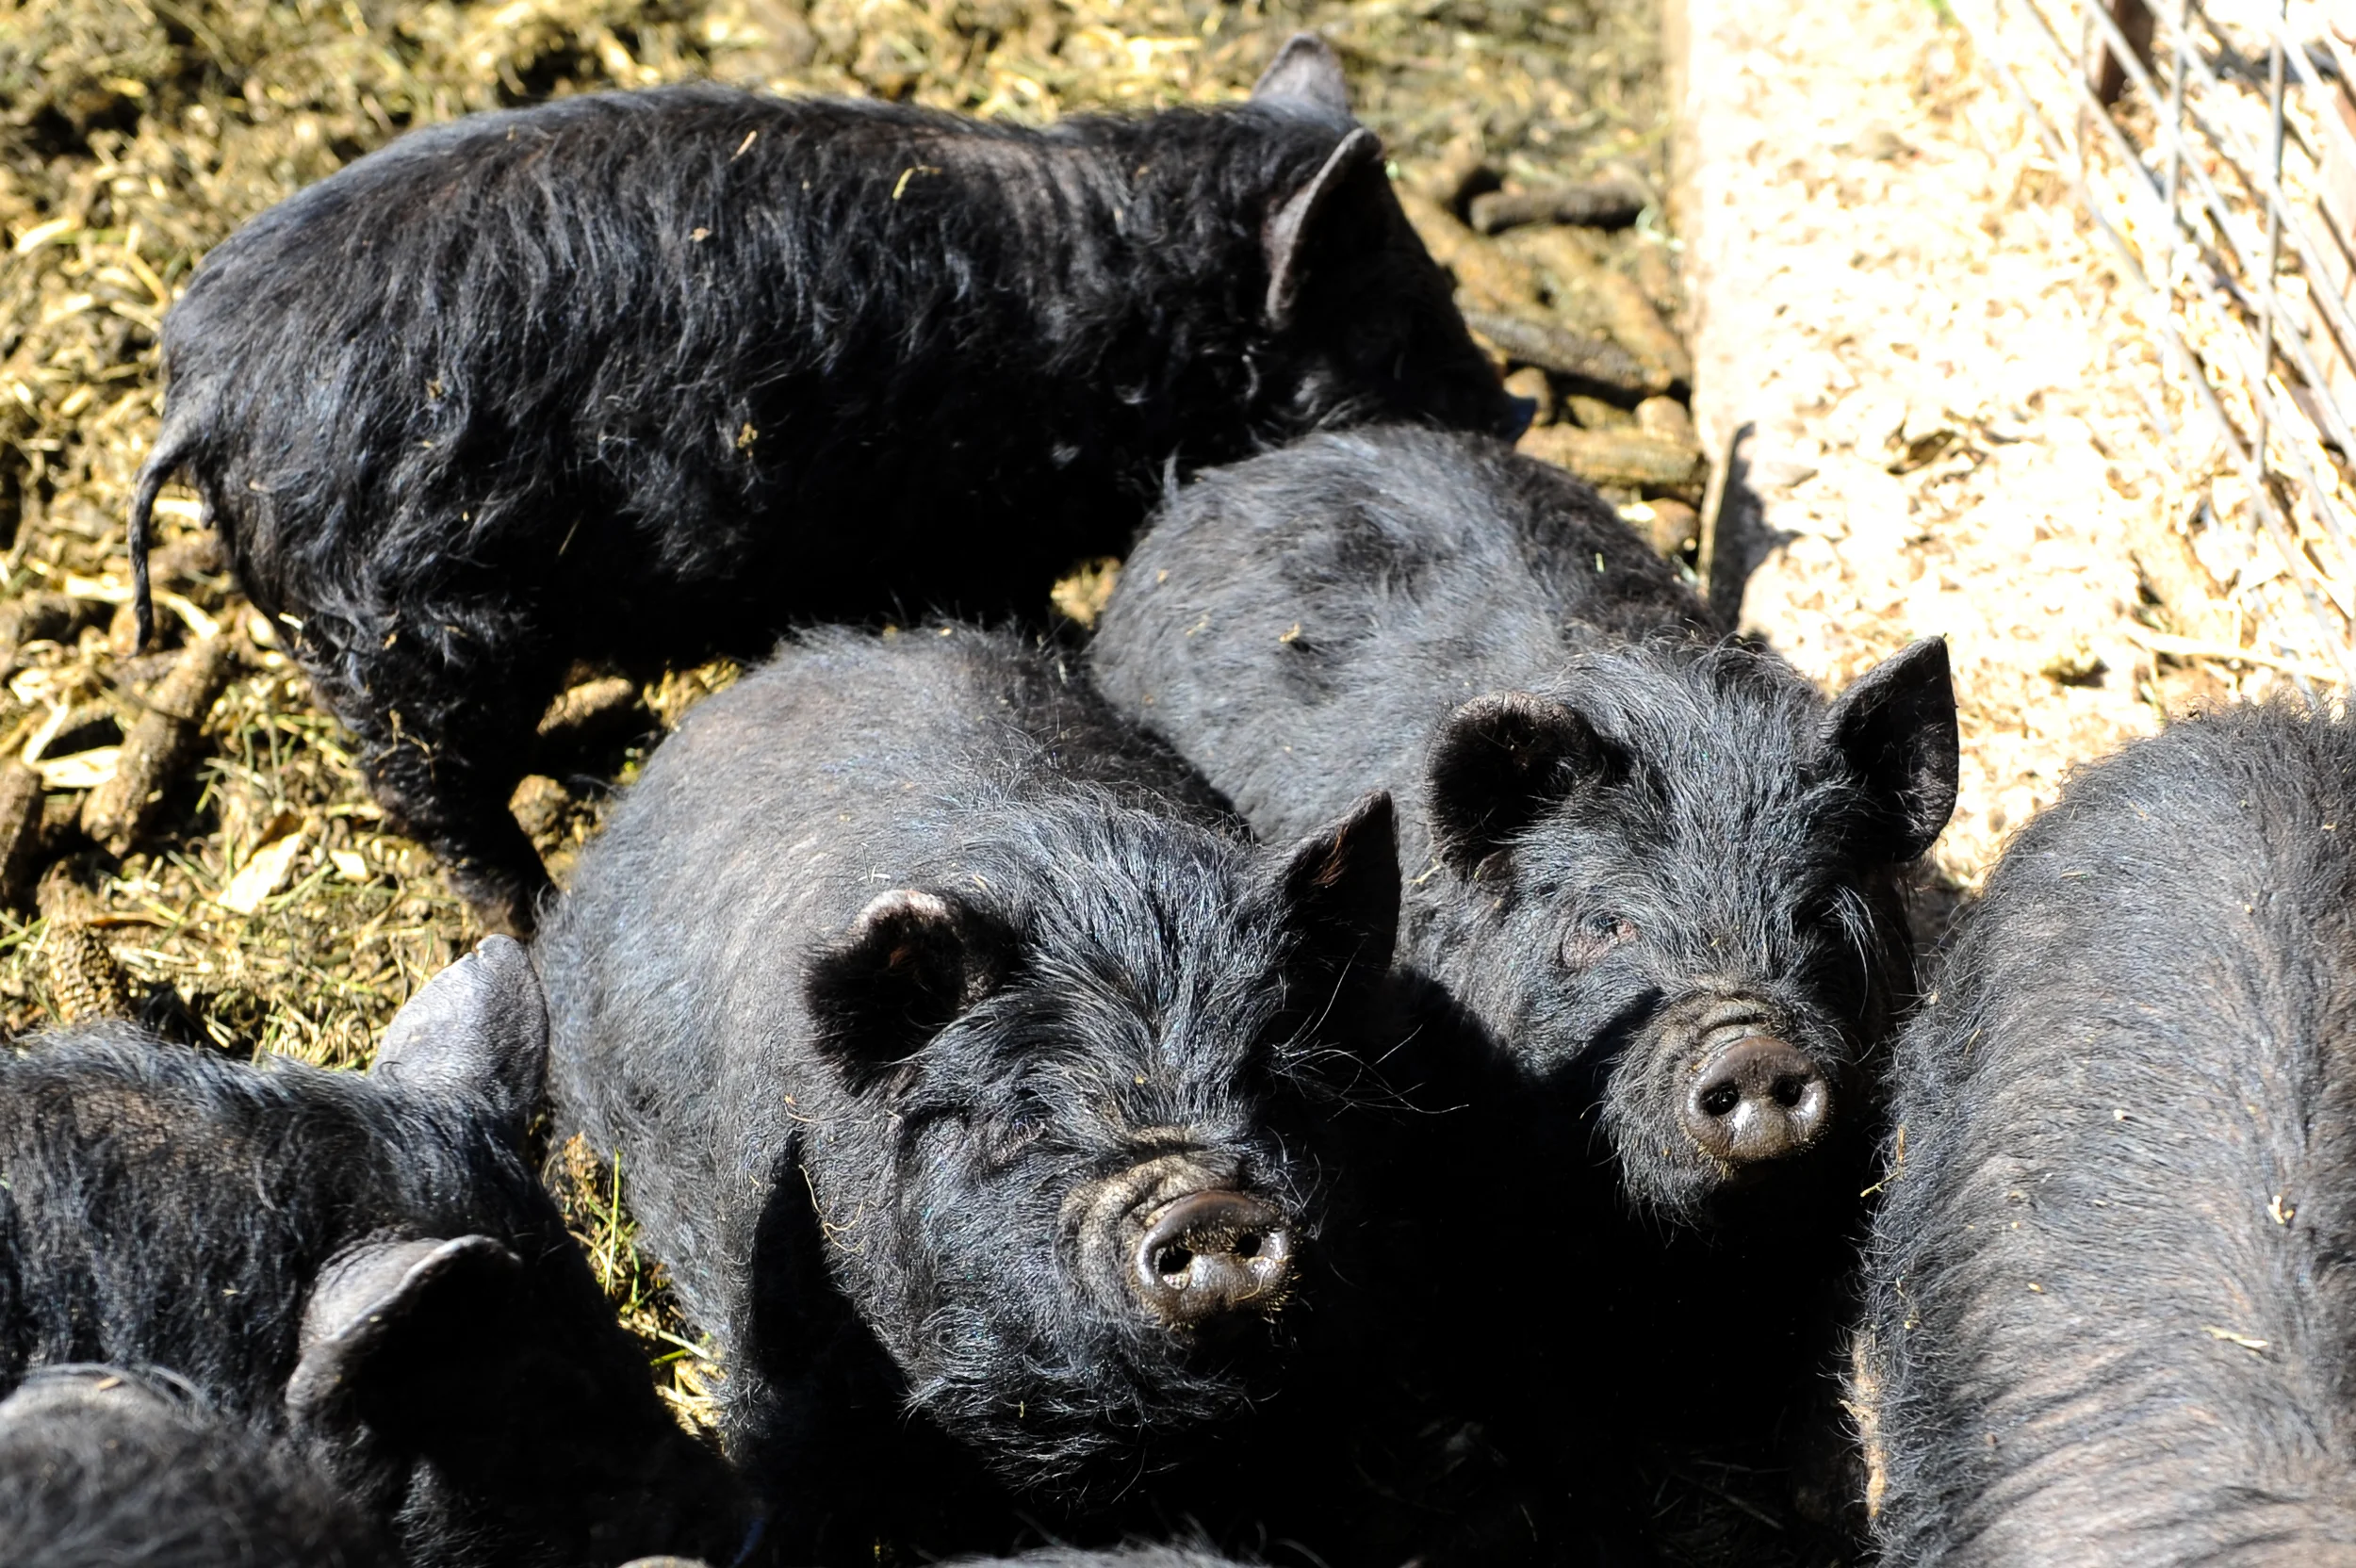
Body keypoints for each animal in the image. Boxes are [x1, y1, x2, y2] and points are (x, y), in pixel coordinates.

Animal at [127, 35, 1517, 937]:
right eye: (1396, 329)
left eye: (1444, 288)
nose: (1514, 410)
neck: (1122, 334)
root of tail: (207, 390)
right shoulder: (975, 530)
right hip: (419, 625)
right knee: (434, 793)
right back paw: (542, 905)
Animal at [1088, 424, 1959, 1554]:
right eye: (1604, 924)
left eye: (1819, 911)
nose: (1754, 1047)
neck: (1683, 1259)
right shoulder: (1475, 1225)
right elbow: (1560, 1425)